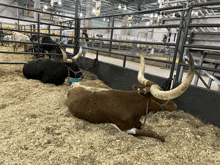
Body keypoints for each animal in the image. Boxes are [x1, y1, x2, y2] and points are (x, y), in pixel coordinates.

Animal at [66, 51, 194, 142]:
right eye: (159, 97)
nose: (174, 105)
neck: (133, 108)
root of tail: (76, 84)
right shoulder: (125, 128)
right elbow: (156, 135)